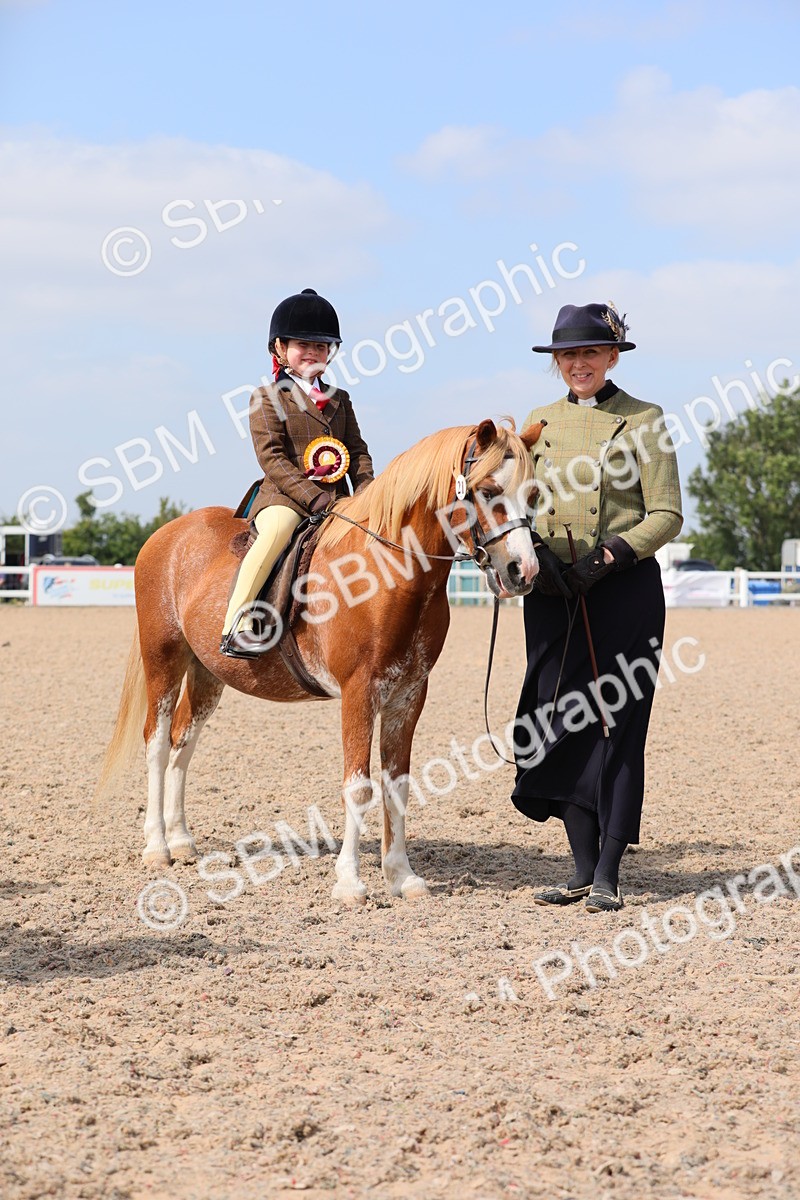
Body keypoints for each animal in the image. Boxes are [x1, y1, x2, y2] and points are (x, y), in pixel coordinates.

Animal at [96, 417, 542, 904]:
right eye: (487, 490)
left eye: (533, 495)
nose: (523, 572)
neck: (387, 571)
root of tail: (166, 535)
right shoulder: (359, 691)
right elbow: (359, 785)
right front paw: (350, 882)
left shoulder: (408, 695)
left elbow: (398, 784)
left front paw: (401, 876)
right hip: (164, 659)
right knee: (157, 744)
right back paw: (157, 847)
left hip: (207, 674)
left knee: (183, 743)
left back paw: (181, 841)